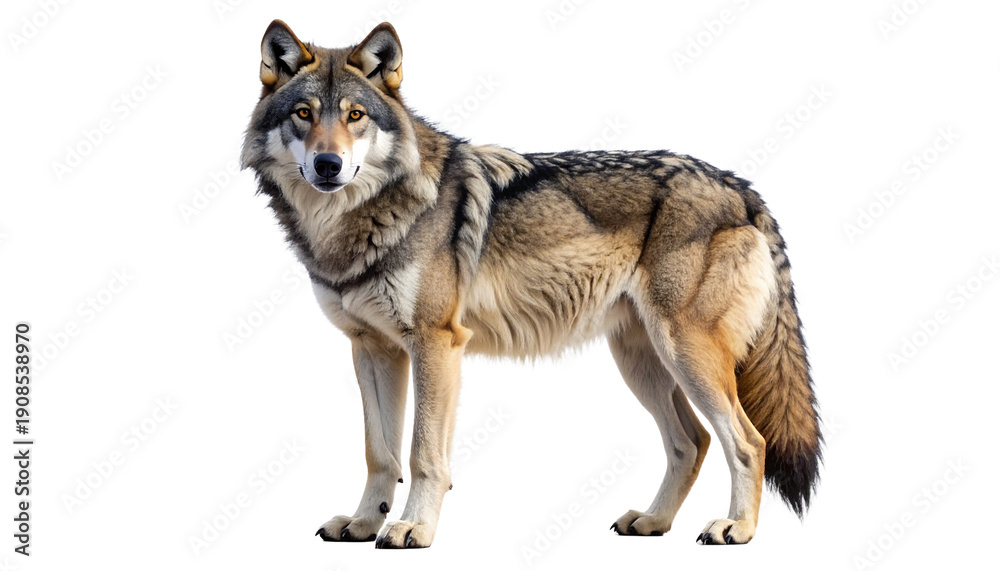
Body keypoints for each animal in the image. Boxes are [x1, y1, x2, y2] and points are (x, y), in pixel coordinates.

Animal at [241, 20, 822, 548]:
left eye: (355, 116)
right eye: (303, 114)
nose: (328, 164)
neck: (355, 220)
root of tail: (739, 186)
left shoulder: (436, 343)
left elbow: (423, 453)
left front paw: (413, 529)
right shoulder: (373, 349)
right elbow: (378, 452)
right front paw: (364, 524)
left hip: (686, 354)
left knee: (749, 441)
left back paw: (737, 529)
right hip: (642, 361)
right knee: (692, 442)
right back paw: (653, 521)